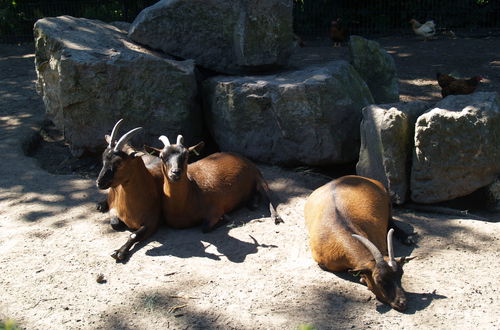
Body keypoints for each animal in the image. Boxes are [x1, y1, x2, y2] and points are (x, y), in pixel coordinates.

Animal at [94, 118, 163, 260]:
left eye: (119, 162)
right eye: (103, 157)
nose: (99, 182)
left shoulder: (153, 222)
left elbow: (133, 235)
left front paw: (120, 252)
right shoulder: (115, 209)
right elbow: (115, 223)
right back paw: (100, 205)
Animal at [154, 134, 284, 232]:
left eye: (186, 155)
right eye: (162, 156)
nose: (175, 172)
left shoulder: (215, 209)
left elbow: (205, 228)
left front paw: (225, 218)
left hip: (259, 178)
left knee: (268, 198)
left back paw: (275, 217)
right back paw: (253, 203)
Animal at [304, 175, 414, 312]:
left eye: (401, 274)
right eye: (379, 280)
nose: (402, 303)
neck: (340, 225)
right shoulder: (322, 263)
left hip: (388, 202)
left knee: (391, 221)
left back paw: (407, 238)